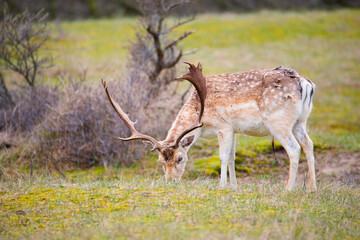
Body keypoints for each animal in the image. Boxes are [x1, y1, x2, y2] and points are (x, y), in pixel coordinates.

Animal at [100, 62, 316, 191]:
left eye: (180, 158)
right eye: (160, 161)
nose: (171, 182)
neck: (201, 119)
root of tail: (306, 83)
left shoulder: (224, 126)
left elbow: (223, 156)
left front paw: (222, 186)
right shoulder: (234, 130)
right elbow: (232, 157)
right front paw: (234, 187)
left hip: (279, 122)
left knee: (293, 149)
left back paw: (288, 189)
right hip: (300, 121)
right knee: (309, 144)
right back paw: (312, 188)